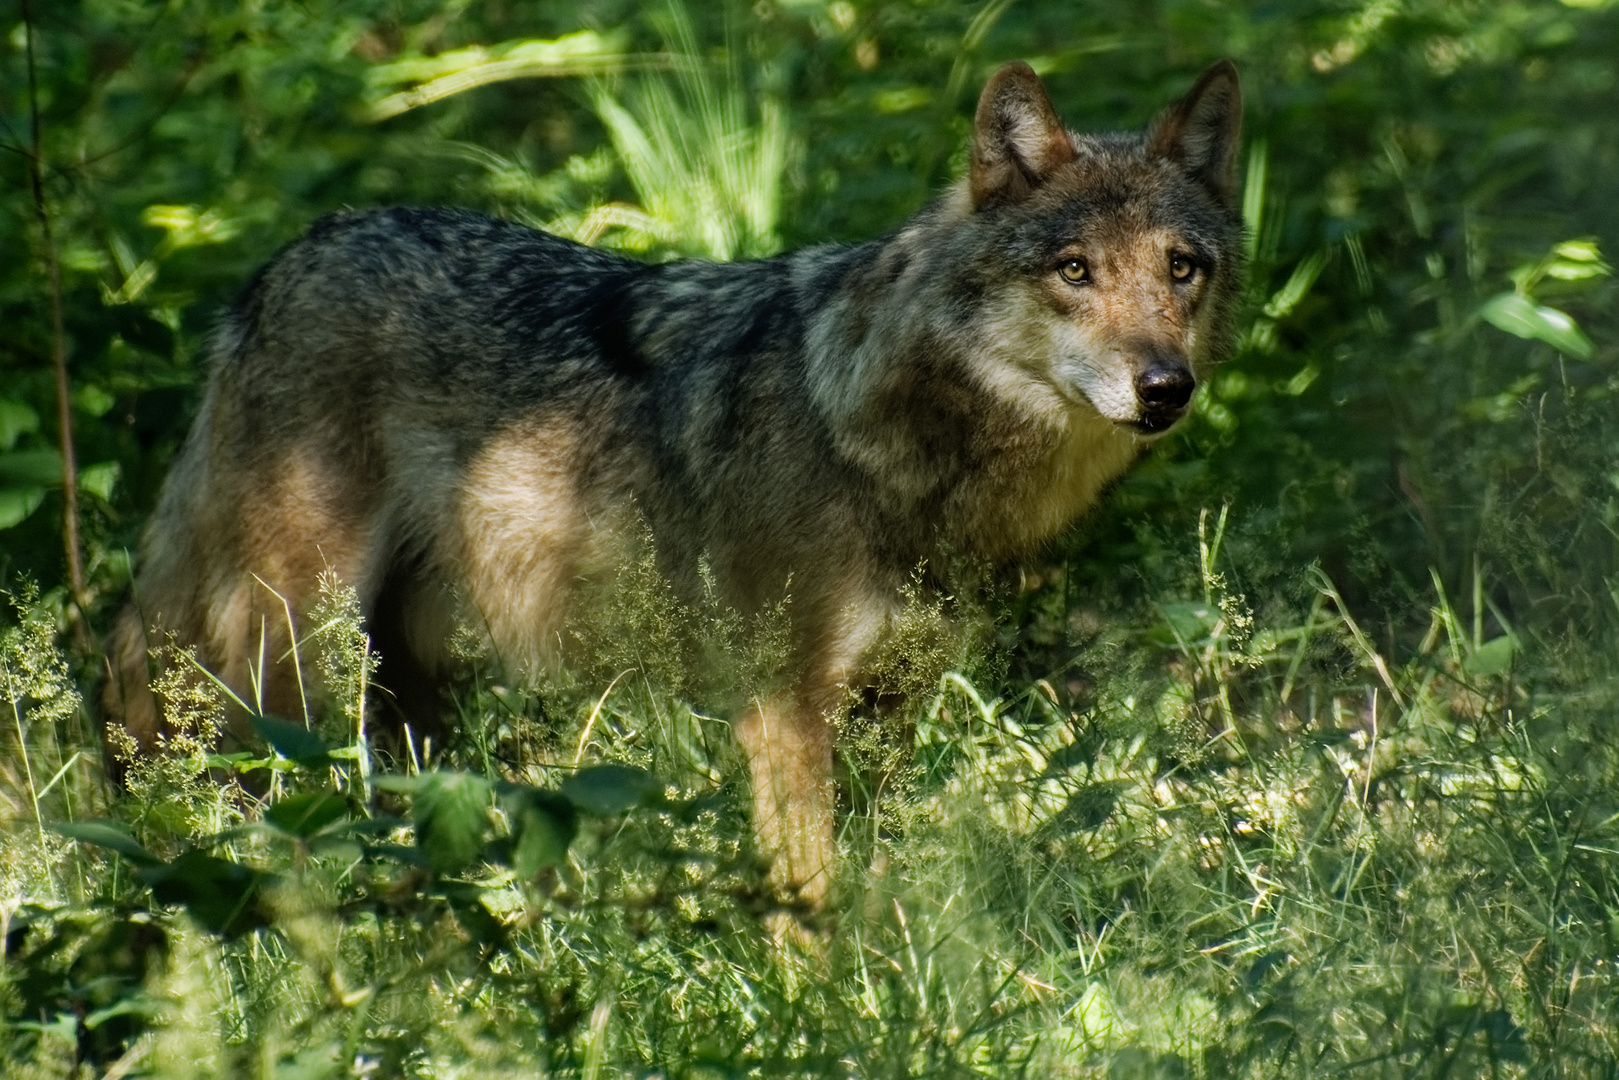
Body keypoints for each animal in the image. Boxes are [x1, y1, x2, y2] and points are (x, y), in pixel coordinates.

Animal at [107, 59, 1243, 906]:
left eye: (1180, 269)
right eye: (1074, 270)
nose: (1164, 387)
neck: (879, 436)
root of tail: (278, 266)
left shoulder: (884, 714)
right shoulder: (781, 708)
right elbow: (809, 898)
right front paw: (821, 1017)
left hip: (416, 690)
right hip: (302, 663)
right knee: (271, 817)